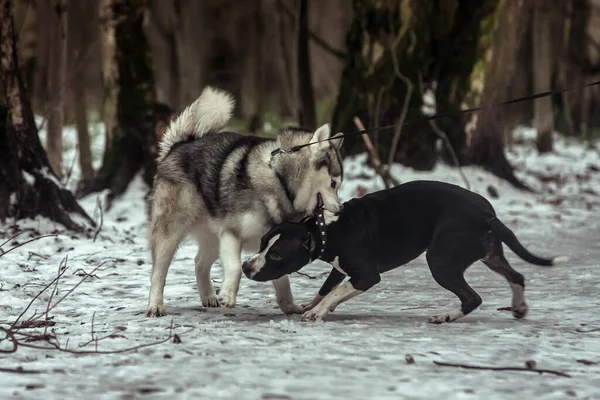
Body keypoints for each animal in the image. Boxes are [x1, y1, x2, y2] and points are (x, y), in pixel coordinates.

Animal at [146, 86, 344, 316]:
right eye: (333, 183)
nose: (340, 209)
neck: (280, 179)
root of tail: (179, 145)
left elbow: (281, 279)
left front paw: (289, 306)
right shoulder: (231, 235)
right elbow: (234, 268)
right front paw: (227, 295)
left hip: (212, 238)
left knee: (199, 262)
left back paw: (208, 297)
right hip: (170, 231)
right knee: (158, 272)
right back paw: (155, 305)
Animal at [243, 180, 568, 322]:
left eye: (276, 255)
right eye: (262, 243)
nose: (247, 266)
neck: (323, 228)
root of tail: (487, 214)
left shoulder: (366, 276)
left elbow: (336, 292)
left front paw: (318, 312)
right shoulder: (341, 268)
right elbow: (327, 288)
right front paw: (314, 304)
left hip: (440, 261)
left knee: (472, 298)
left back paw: (447, 316)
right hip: (489, 254)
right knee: (517, 276)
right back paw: (520, 307)